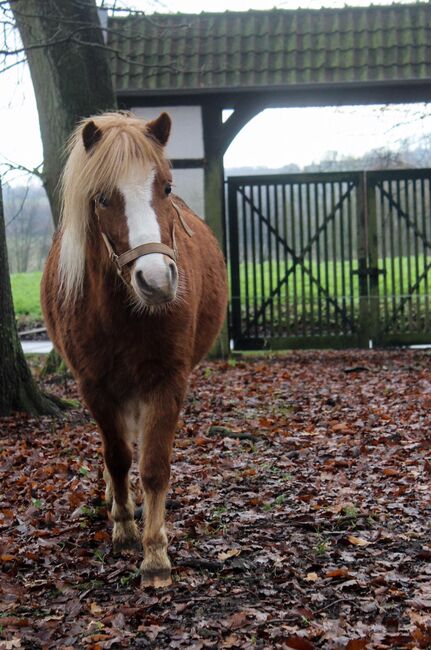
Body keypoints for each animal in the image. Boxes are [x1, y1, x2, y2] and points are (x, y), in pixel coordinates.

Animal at [41, 111, 228, 588]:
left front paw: (156, 552)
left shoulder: (167, 382)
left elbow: (153, 465)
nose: (157, 281)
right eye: (103, 197)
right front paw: (125, 527)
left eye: (166, 188)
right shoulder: (95, 386)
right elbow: (118, 456)